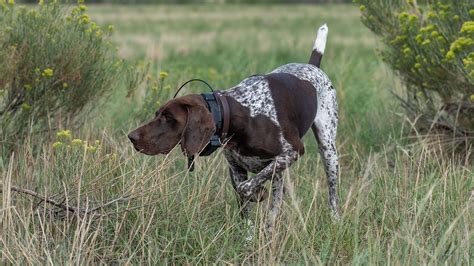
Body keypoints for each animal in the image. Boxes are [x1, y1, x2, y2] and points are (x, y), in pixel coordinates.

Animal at [128, 24, 338, 239]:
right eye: (157, 114)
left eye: (169, 118)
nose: (131, 137)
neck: (241, 112)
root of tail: (313, 66)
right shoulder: (236, 168)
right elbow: (243, 201)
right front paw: (249, 239)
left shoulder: (292, 151)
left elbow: (246, 188)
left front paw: (258, 193)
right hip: (281, 174)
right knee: (274, 208)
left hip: (328, 151)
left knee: (331, 194)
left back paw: (334, 221)